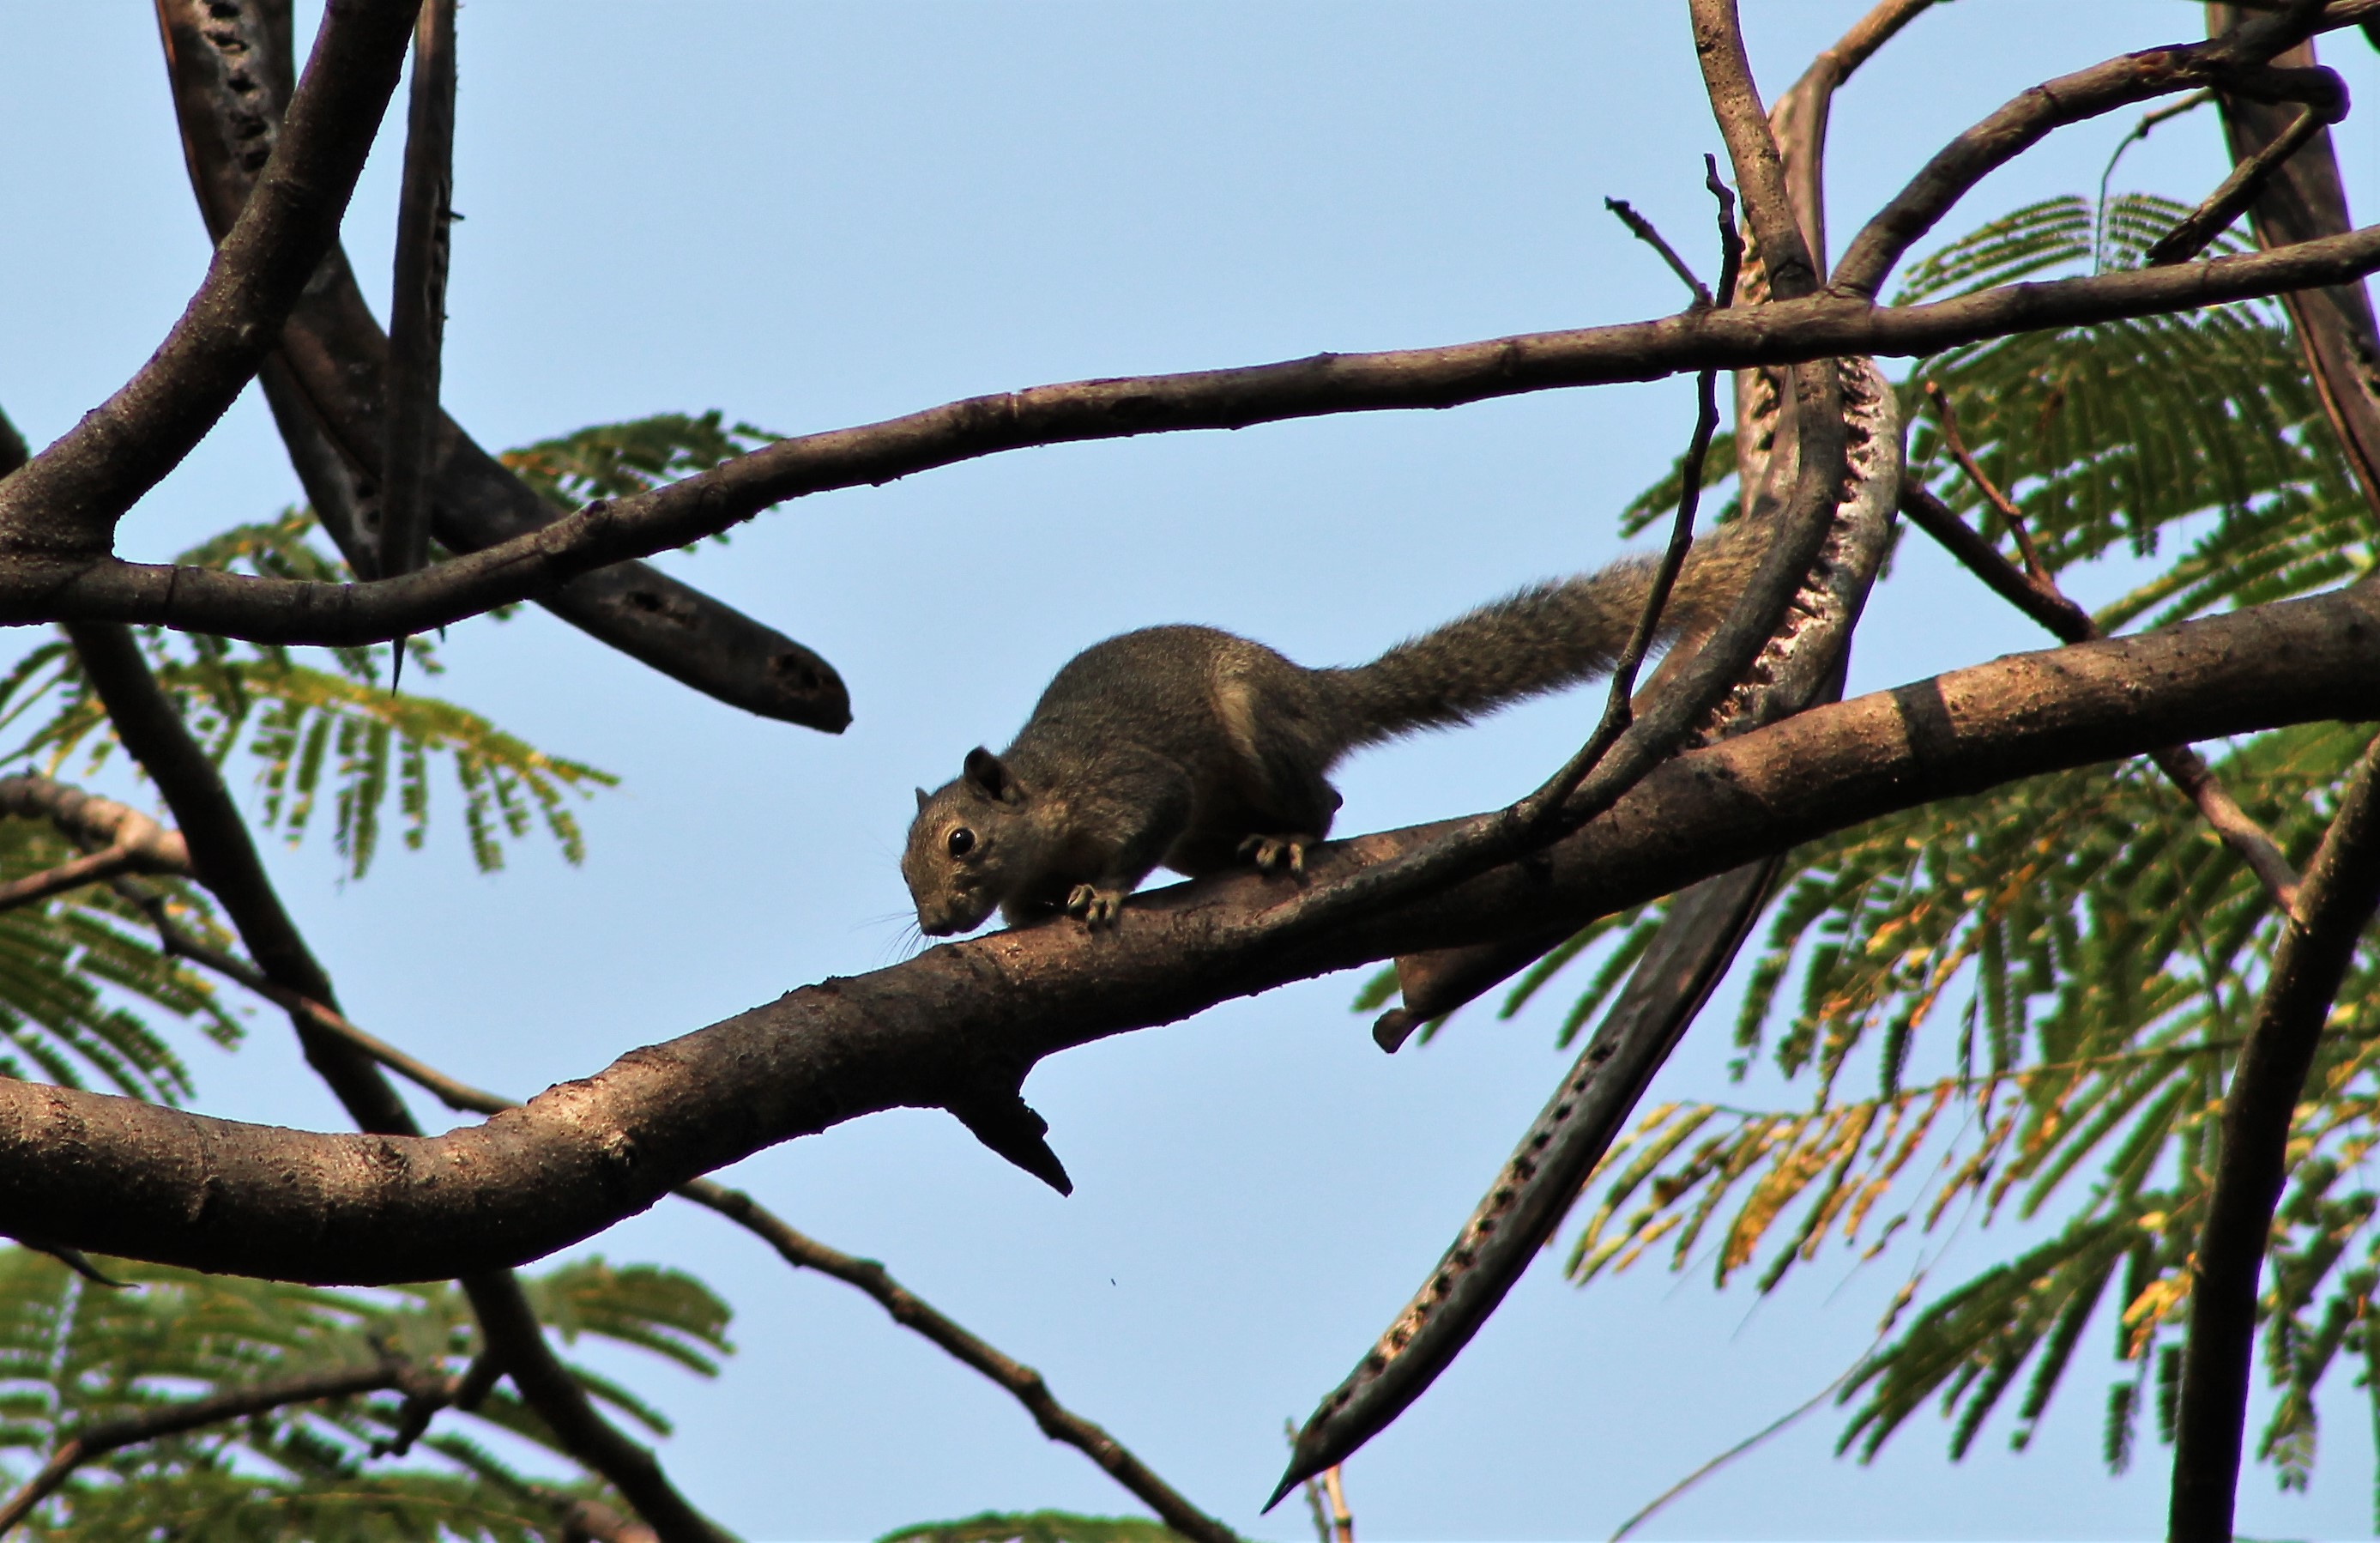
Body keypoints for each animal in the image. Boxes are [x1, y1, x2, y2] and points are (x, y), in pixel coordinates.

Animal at [900, 519, 1766, 936]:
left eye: (961, 841)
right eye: (904, 872)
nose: (937, 924)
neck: (1043, 788)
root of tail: (1314, 695)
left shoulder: (1127, 784)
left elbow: (1148, 816)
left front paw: (1103, 892)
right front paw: (1034, 910)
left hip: (1256, 726)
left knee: (1326, 803)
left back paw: (1290, 838)